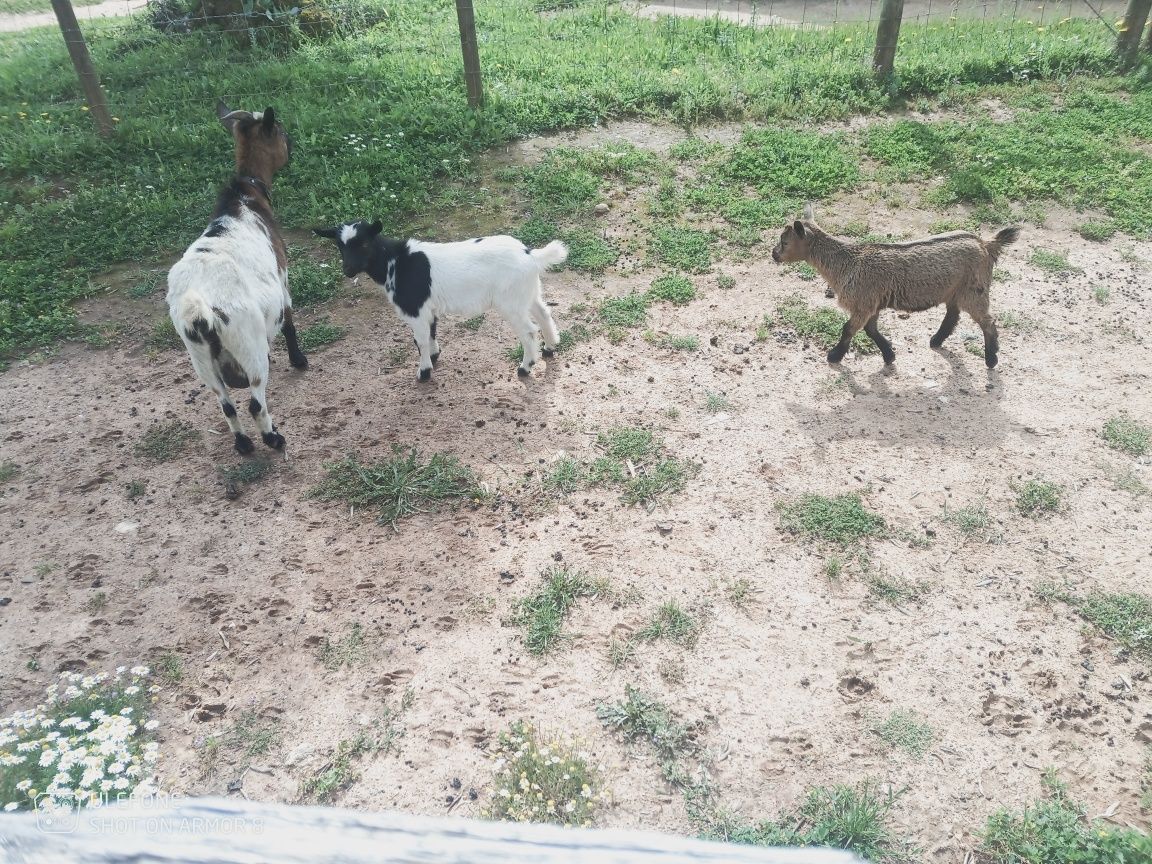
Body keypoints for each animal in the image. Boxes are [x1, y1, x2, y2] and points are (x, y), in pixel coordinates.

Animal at [168, 101, 308, 456]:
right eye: (281, 131)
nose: (293, 144)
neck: (244, 197)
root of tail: (200, 313)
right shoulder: (282, 275)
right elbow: (289, 320)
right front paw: (299, 359)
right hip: (248, 348)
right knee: (254, 403)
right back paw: (273, 439)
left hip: (201, 359)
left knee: (226, 404)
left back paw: (243, 444)